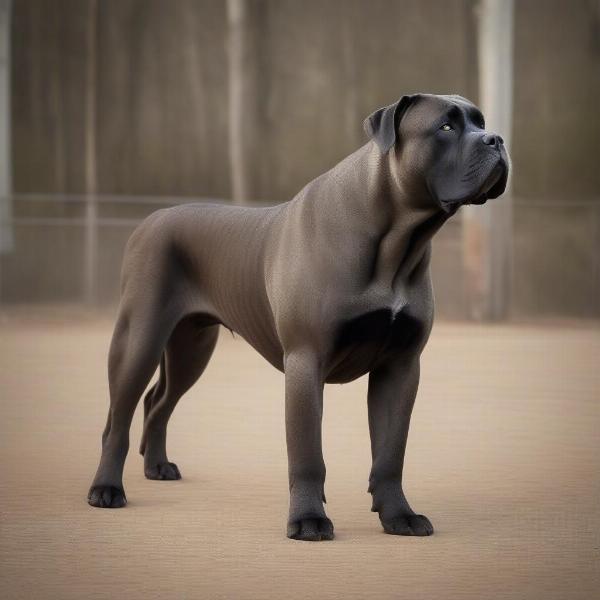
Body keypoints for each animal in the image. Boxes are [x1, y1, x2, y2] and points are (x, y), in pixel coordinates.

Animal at [89, 91, 508, 540]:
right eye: (446, 127)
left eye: (481, 122)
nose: (498, 139)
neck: (396, 240)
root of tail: (148, 221)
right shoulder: (306, 360)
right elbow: (307, 453)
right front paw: (308, 519)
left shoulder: (400, 366)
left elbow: (391, 452)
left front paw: (399, 515)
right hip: (140, 338)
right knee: (118, 419)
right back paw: (106, 488)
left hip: (191, 347)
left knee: (159, 400)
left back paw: (157, 466)